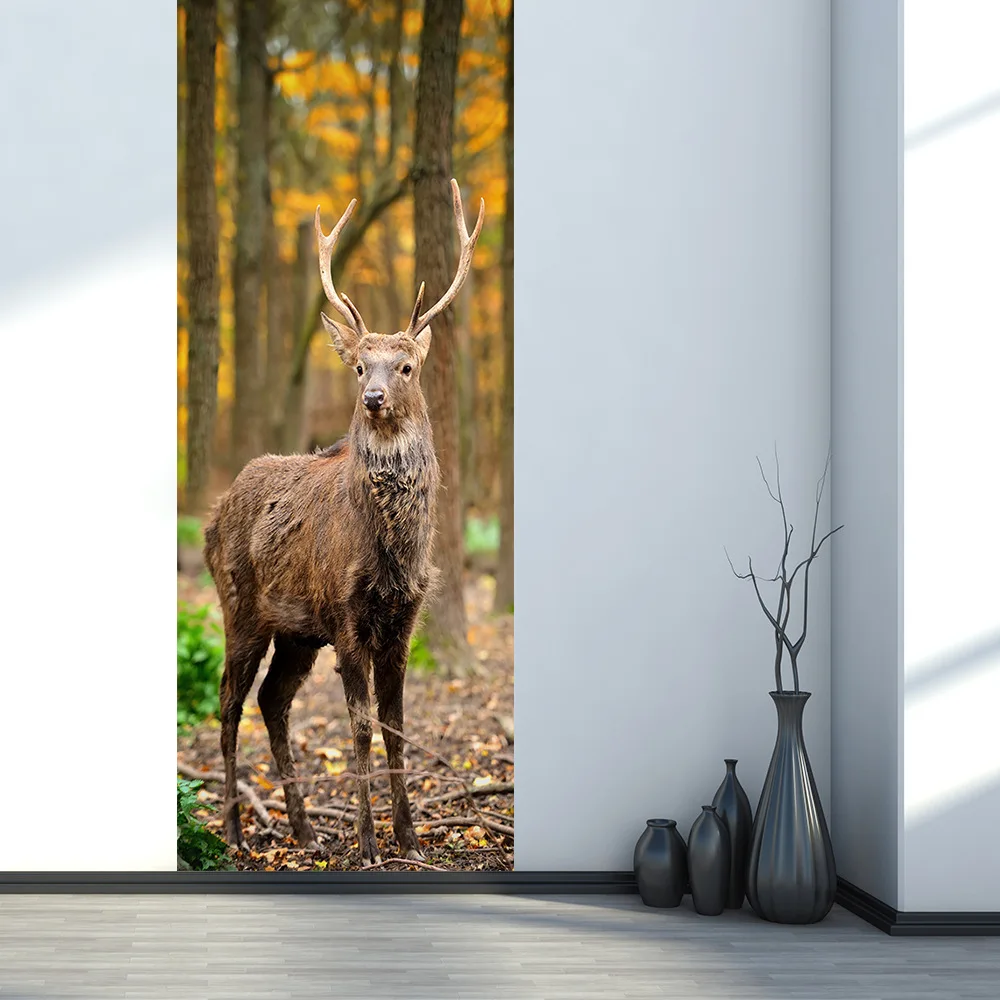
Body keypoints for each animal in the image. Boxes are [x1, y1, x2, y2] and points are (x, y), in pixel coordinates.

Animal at [203, 179, 484, 866]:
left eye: (405, 366)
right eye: (359, 365)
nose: (374, 398)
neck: (390, 556)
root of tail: (211, 519)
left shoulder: (403, 621)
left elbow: (398, 730)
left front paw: (409, 837)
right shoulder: (347, 618)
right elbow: (359, 731)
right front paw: (367, 843)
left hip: (297, 632)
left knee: (272, 700)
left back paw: (305, 831)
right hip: (240, 606)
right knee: (228, 704)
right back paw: (233, 830)